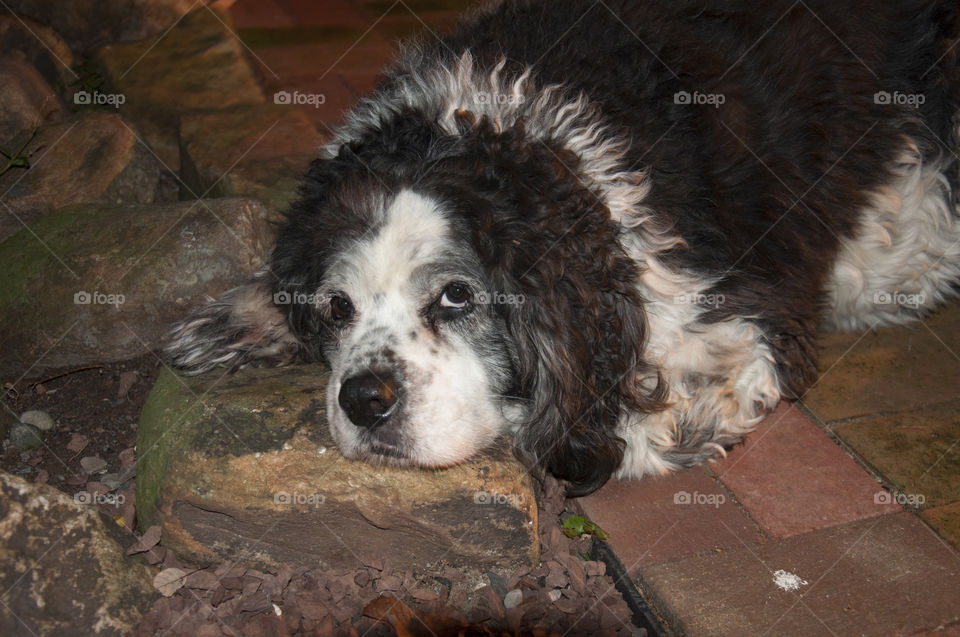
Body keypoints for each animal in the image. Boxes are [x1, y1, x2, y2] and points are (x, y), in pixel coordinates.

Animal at [165, 0, 960, 496]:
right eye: (336, 307)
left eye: (458, 296)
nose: (363, 400)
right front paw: (237, 320)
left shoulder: (748, 323)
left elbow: (623, 428)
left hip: (899, 238)